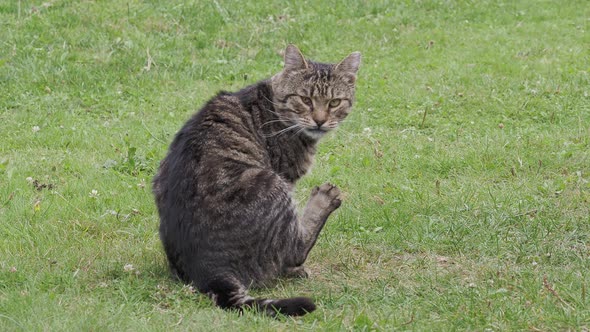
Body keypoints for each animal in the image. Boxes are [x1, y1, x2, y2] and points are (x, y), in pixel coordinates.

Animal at [153, 44, 360, 316]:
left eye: (334, 102)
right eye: (305, 100)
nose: (319, 120)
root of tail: (209, 271)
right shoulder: (287, 177)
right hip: (272, 184)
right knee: (295, 248)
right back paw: (324, 200)